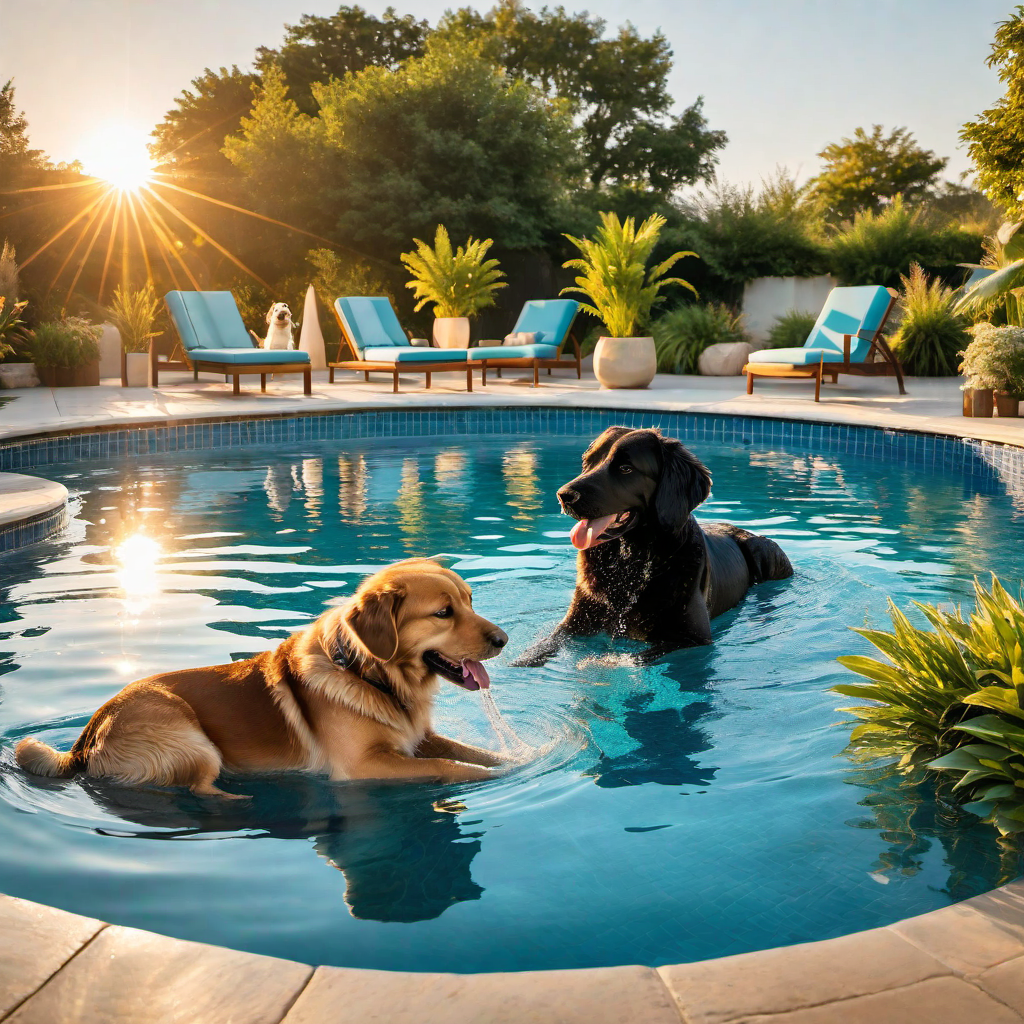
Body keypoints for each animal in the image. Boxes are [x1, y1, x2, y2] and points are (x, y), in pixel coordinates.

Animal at [516, 423, 794, 663]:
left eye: (625, 468)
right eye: (587, 462)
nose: (563, 495)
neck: (630, 561)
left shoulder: (692, 638)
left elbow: (635, 658)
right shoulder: (574, 623)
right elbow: (542, 646)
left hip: (764, 550)